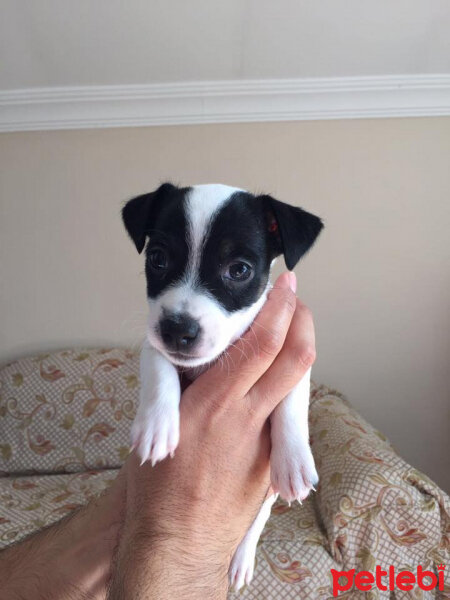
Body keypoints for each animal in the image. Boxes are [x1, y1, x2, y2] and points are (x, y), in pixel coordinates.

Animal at [122, 183, 324, 592]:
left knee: (256, 521)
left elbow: (291, 404)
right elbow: (160, 369)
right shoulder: (154, 345)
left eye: (239, 270)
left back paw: (242, 558)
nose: (177, 330)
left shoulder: (292, 355)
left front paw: (294, 458)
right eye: (158, 258)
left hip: (265, 498)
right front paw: (156, 426)